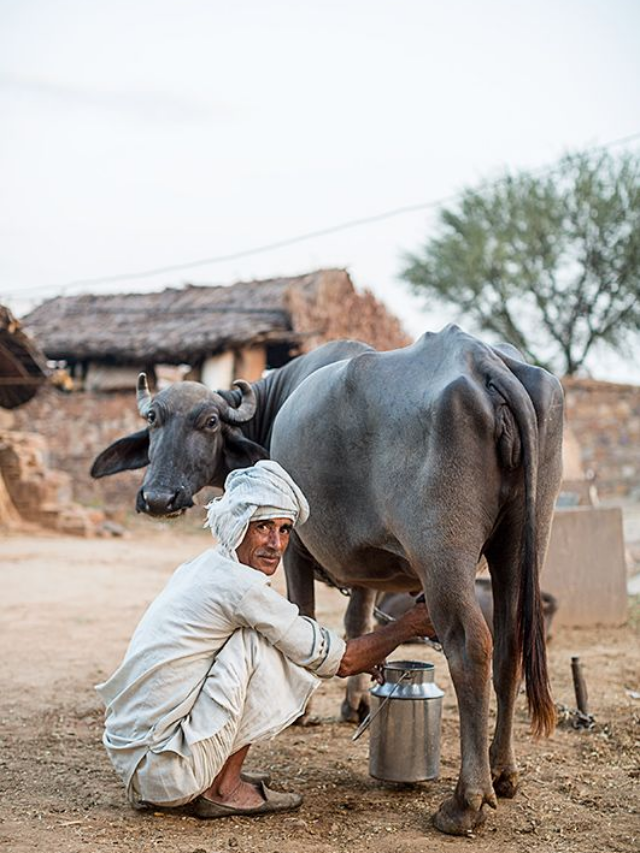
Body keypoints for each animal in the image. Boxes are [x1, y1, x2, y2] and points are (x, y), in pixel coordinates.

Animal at [92, 326, 564, 832]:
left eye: (210, 422)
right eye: (153, 419)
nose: (159, 497)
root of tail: (481, 358)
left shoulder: (296, 548)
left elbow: (307, 613)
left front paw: (304, 714)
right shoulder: (368, 569)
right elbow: (358, 624)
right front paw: (355, 705)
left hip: (443, 555)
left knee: (471, 646)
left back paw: (466, 802)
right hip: (522, 541)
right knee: (511, 645)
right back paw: (503, 772)